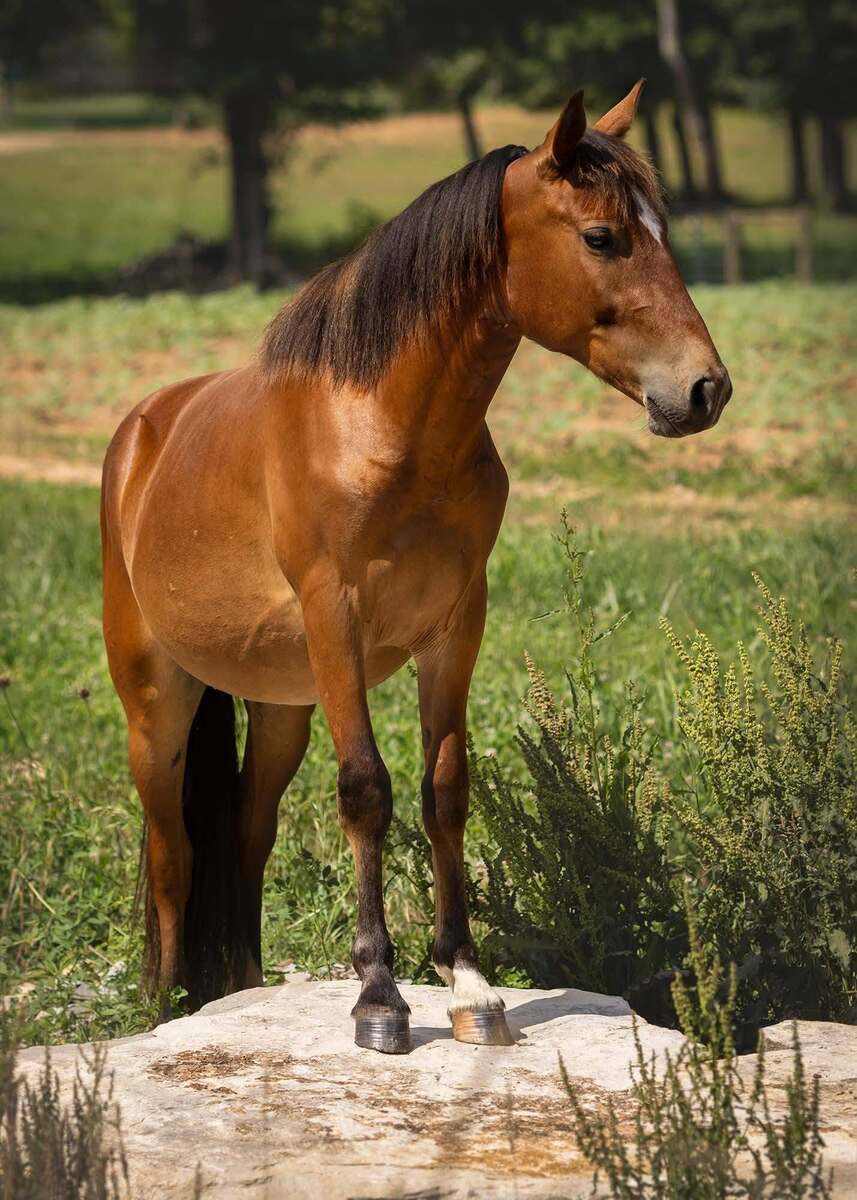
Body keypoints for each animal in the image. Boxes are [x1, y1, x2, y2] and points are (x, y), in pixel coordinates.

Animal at [101, 81, 731, 1054]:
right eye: (601, 237)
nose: (703, 390)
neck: (388, 429)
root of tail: (141, 433)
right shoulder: (336, 620)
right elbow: (367, 791)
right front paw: (379, 998)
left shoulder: (456, 624)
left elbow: (444, 790)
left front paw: (468, 983)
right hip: (156, 708)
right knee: (173, 859)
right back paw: (164, 1014)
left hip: (279, 708)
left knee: (245, 837)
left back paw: (230, 995)